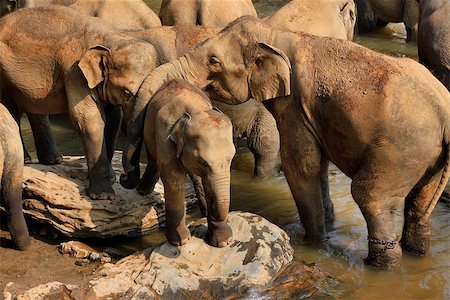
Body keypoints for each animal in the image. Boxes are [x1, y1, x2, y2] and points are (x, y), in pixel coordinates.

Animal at [0, 6, 157, 199]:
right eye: (127, 92)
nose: (124, 178)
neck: (113, 38)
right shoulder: (74, 72)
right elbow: (89, 120)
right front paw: (103, 195)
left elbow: (113, 120)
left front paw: (110, 179)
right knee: (11, 110)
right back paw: (28, 161)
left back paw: (53, 160)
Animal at [123, 78, 236, 247]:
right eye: (203, 162)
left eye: (230, 159)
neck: (195, 112)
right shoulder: (164, 135)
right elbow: (173, 178)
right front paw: (180, 241)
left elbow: (207, 183)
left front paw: (223, 242)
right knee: (154, 160)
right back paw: (142, 191)